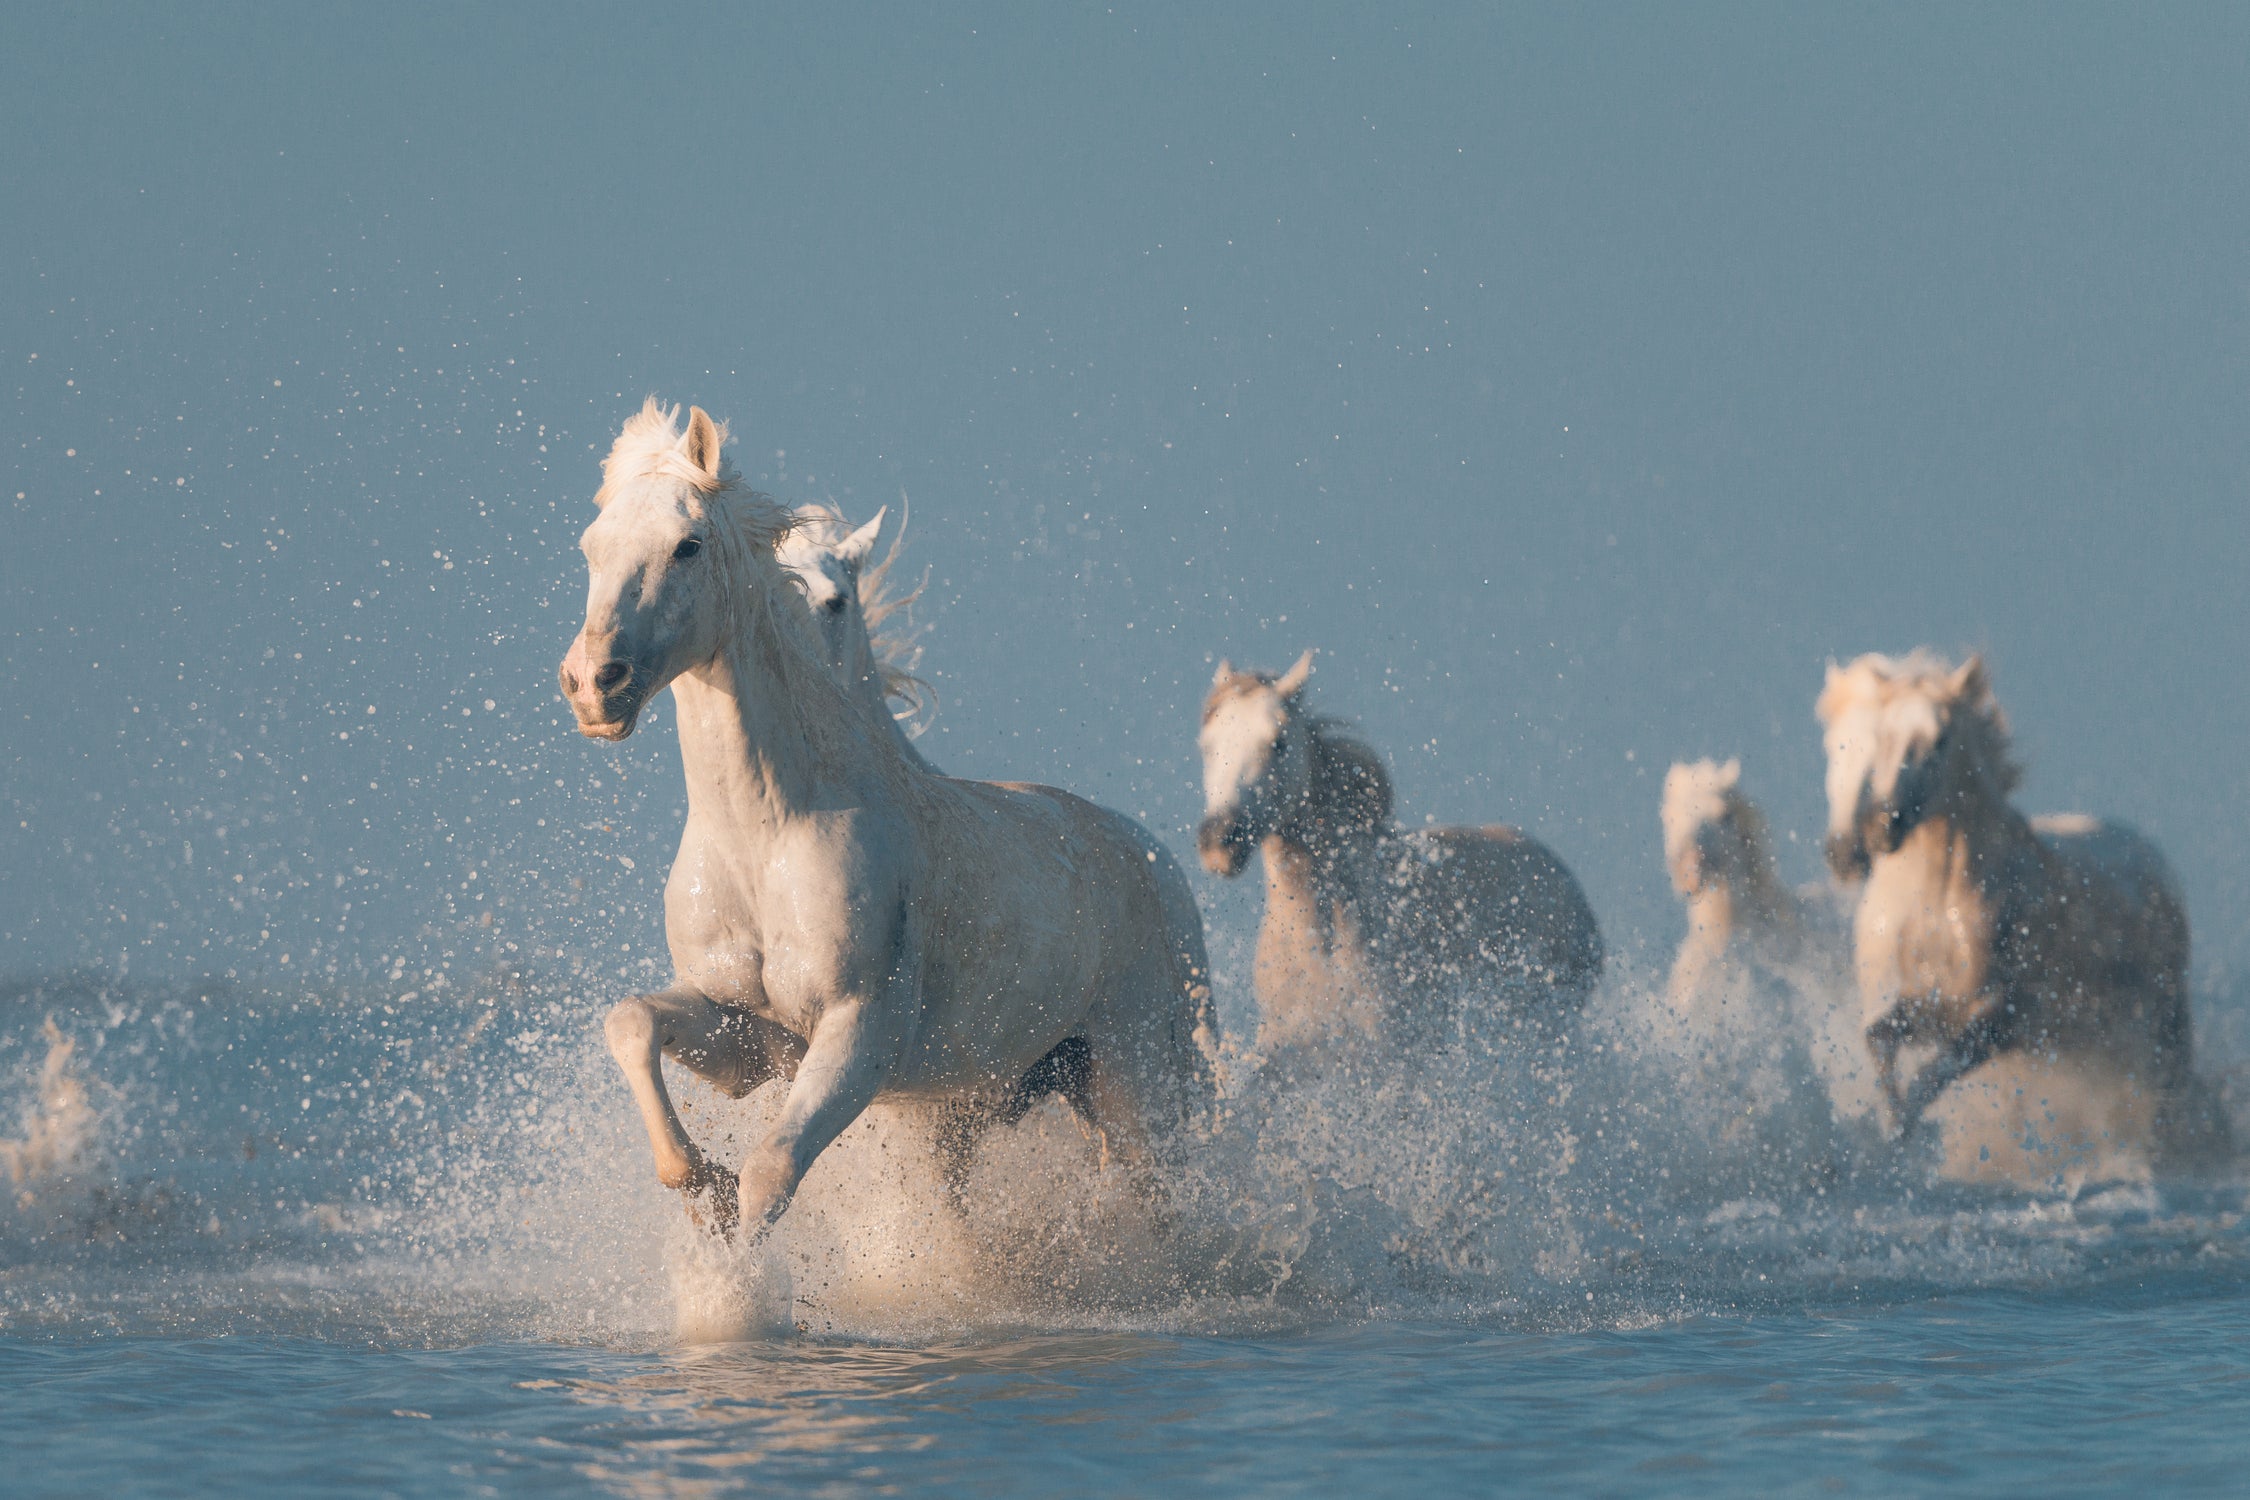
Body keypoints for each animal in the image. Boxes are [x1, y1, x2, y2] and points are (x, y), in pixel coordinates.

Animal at [1817, 650, 2222, 1160]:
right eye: (1883, 738)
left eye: (1940, 740)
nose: (1877, 829)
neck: (1932, 905)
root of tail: (2153, 857)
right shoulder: (1920, 1007)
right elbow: (1879, 1042)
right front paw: (1891, 1130)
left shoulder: (1997, 1022)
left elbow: (1931, 1074)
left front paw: (1906, 1135)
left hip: (2161, 1029)